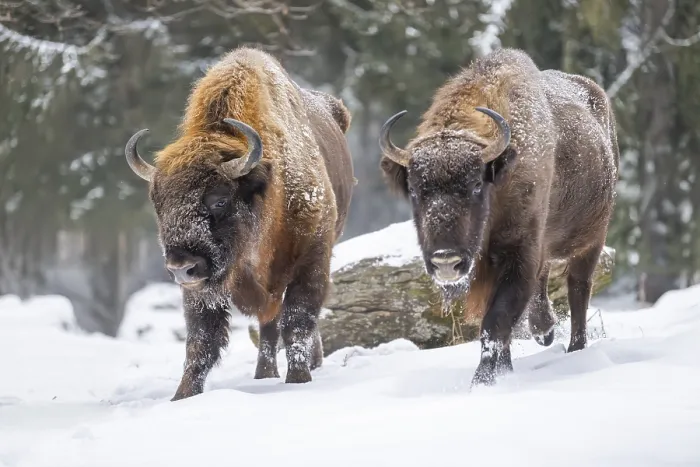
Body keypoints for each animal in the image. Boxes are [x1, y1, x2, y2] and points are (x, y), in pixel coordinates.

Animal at [124, 47, 355, 400]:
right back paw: (264, 375)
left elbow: (297, 322)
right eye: (159, 204)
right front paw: (183, 396)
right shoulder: (202, 289)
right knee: (266, 327)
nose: (181, 267)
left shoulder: (312, 260)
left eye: (219, 200)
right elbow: (201, 341)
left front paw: (298, 380)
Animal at [378, 48, 619, 387]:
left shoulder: (518, 255)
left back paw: (575, 348)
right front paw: (503, 370)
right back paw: (544, 332)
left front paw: (482, 382)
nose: (446, 261)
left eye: (476, 185)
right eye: (414, 189)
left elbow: (496, 322)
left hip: (591, 241)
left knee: (578, 290)